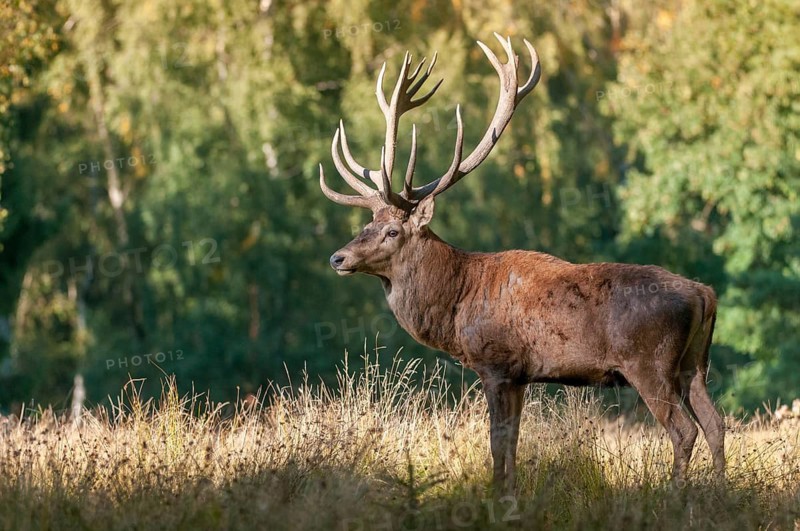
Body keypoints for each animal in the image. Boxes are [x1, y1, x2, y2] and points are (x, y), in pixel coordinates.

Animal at [318, 34, 725, 494]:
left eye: (392, 231)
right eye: (367, 223)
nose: (338, 257)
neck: (455, 306)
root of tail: (705, 294)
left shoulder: (496, 365)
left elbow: (498, 444)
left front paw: (498, 496)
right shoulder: (520, 376)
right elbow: (511, 444)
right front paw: (510, 492)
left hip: (649, 363)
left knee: (684, 430)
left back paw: (675, 494)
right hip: (694, 363)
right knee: (715, 423)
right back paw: (721, 490)